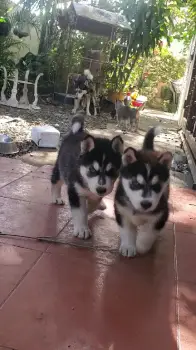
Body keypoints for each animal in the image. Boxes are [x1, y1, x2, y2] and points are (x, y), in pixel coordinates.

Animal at [114, 126, 172, 258]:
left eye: (157, 185)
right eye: (135, 183)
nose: (146, 204)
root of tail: (148, 150)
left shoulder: (161, 214)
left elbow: (148, 232)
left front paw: (141, 245)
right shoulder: (122, 211)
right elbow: (127, 230)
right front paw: (128, 246)